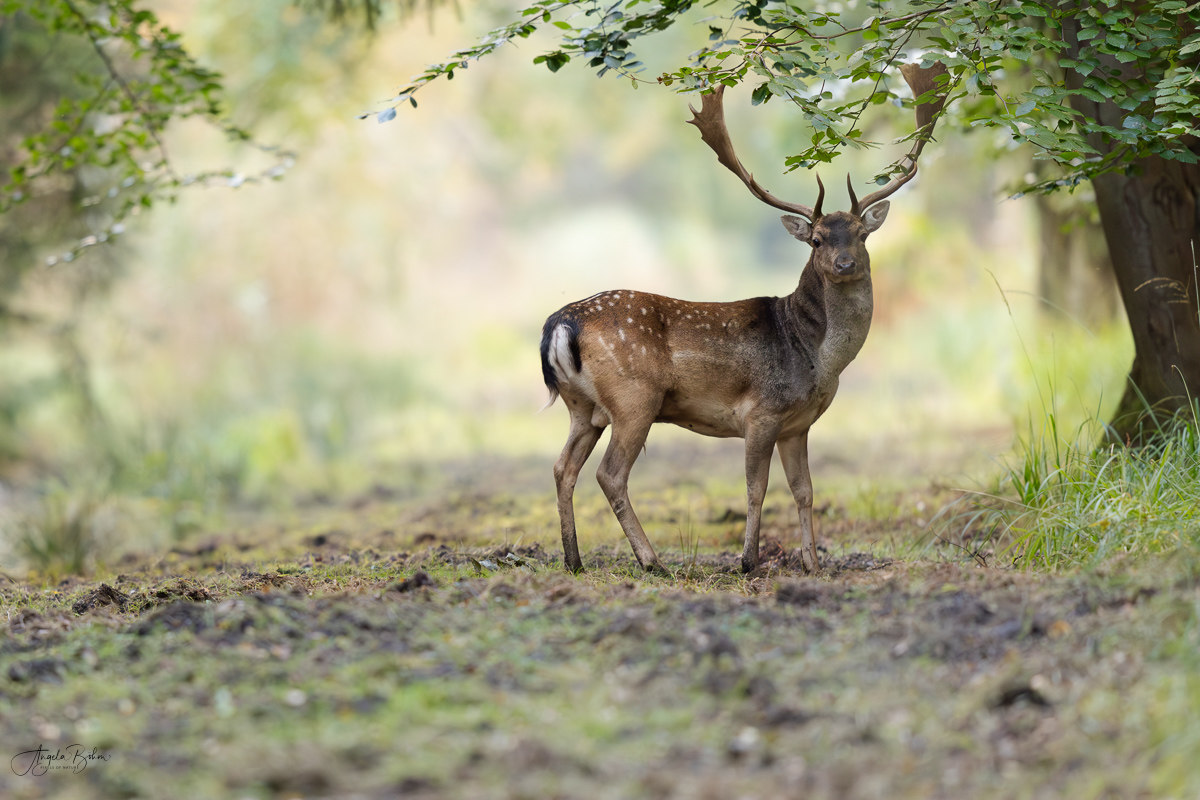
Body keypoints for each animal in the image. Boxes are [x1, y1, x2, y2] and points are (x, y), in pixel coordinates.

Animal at [540, 62, 940, 575]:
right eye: (816, 239)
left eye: (861, 234)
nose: (845, 263)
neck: (816, 356)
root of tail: (561, 323)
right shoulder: (762, 412)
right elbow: (757, 489)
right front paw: (748, 560)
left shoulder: (798, 424)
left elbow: (805, 491)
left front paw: (813, 563)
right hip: (634, 398)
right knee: (610, 475)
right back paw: (652, 561)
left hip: (583, 407)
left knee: (562, 467)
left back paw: (574, 560)